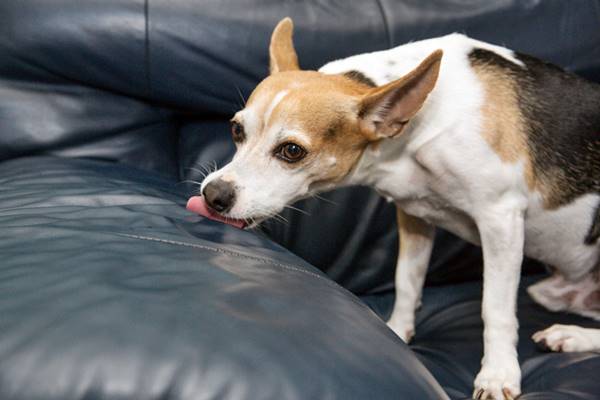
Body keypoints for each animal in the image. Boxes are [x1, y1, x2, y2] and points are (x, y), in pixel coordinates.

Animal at [191, 18, 600, 400]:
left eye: (292, 151)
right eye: (236, 130)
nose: (213, 195)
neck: (416, 128)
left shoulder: (500, 218)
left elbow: (495, 308)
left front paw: (497, 374)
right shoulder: (414, 215)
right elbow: (407, 280)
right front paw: (397, 332)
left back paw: (573, 337)